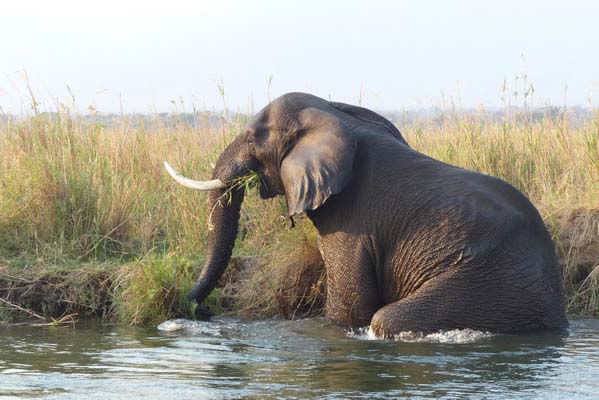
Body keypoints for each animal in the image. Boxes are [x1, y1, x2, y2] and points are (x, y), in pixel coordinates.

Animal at [163, 92, 568, 336]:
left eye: (252, 138)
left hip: (487, 283)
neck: (333, 113)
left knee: (387, 318)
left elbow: (351, 308)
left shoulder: (352, 224)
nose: (198, 308)